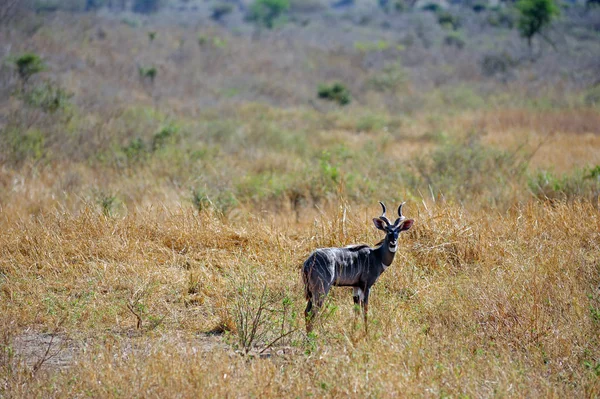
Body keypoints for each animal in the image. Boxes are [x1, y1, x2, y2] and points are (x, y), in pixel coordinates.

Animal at [302, 203, 414, 334]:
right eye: (387, 230)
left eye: (398, 231)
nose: (393, 242)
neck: (377, 256)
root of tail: (308, 262)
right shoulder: (367, 285)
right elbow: (365, 308)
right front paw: (366, 332)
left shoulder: (356, 286)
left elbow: (356, 309)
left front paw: (354, 330)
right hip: (322, 288)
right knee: (312, 311)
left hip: (312, 291)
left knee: (307, 311)